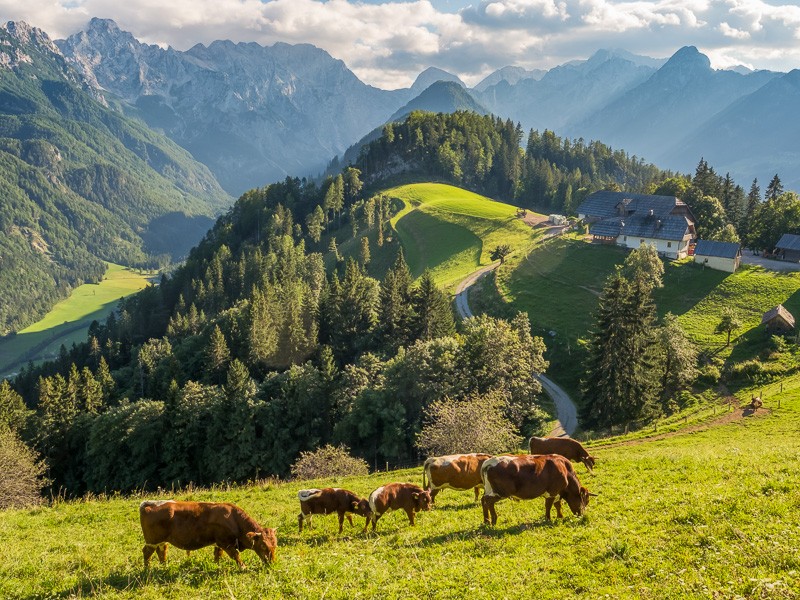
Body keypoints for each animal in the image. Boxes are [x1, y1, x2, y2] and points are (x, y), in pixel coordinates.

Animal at [139, 500, 277, 569]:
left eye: (275, 545)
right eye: (263, 545)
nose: (272, 563)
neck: (233, 518)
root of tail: (151, 503)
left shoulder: (219, 544)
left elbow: (217, 555)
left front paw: (216, 565)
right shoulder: (226, 543)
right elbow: (236, 555)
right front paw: (243, 567)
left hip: (161, 540)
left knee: (161, 550)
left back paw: (164, 566)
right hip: (152, 540)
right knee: (147, 552)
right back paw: (147, 569)